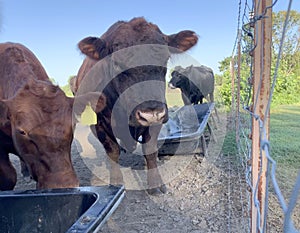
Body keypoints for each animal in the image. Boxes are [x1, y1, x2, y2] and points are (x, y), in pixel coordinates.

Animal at [72, 16, 199, 195]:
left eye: (165, 58)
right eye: (116, 63)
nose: (150, 113)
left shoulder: (157, 120)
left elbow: (150, 150)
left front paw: (155, 183)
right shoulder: (100, 122)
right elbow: (112, 150)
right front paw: (116, 183)